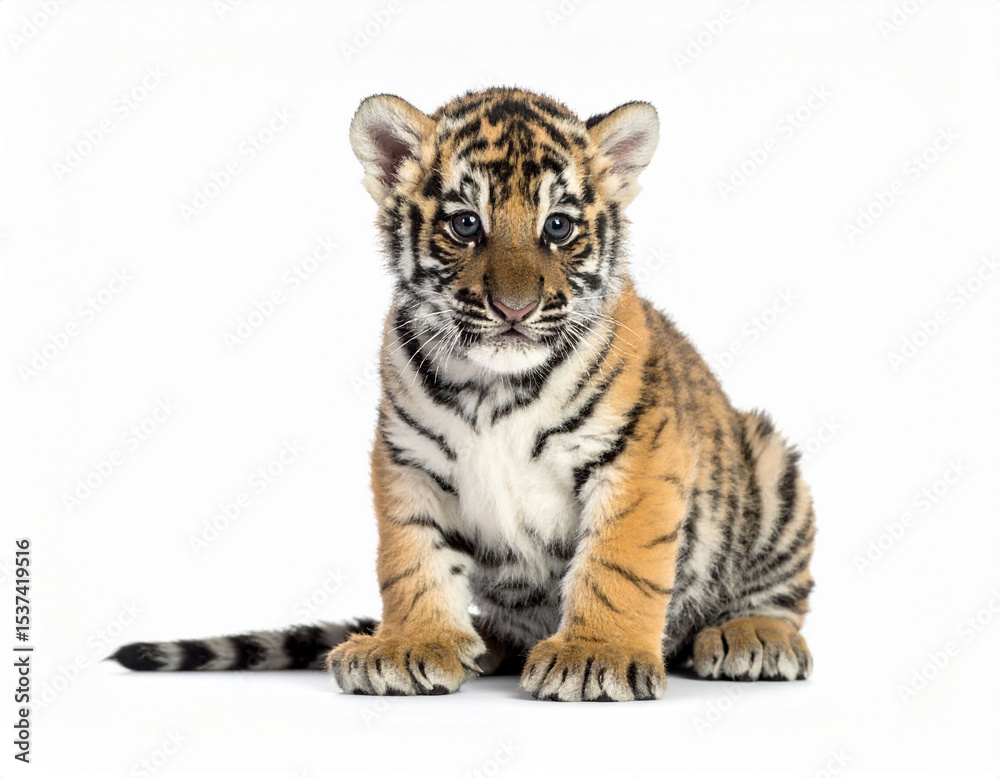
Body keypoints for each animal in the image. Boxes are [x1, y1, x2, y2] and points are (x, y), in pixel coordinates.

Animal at [111, 87, 815, 701]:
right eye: (465, 224)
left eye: (559, 227)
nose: (514, 307)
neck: (494, 386)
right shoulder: (408, 459)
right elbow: (412, 559)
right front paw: (409, 644)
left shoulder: (637, 455)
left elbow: (619, 565)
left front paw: (597, 655)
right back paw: (482, 644)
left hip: (770, 465)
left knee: (781, 599)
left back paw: (753, 637)